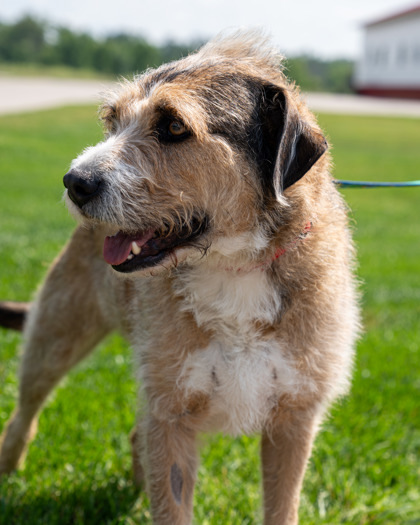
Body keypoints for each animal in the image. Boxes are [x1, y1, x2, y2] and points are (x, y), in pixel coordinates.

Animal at [0, 32, 360, 524]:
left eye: (173, 126)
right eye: (112, 121)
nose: (75, 182)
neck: (234, 266)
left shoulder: (294, 419)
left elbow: (281, 507)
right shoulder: (170, 412)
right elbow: (171, 503)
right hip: (55, 336)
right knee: (25, 413)